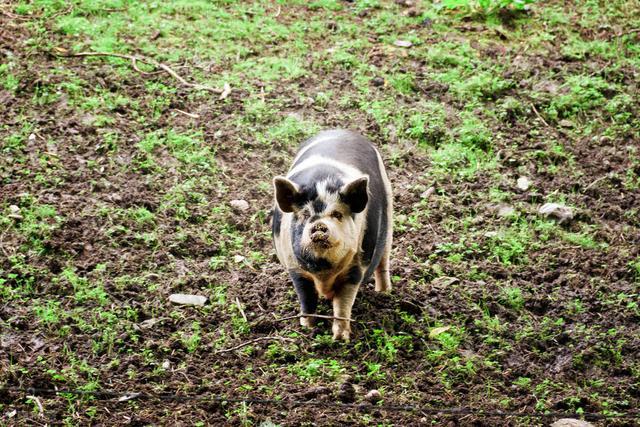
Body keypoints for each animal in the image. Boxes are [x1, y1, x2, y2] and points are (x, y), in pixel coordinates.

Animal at [270, 130, 390, 342]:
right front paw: (307, 328)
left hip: (390, 209)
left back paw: (384, 293)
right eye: (305, 214)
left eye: (337, 214)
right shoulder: (295, 268)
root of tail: (342, 131)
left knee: (384, 259)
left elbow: (343, 304)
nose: (319, 225)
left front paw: (341, 338)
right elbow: (306, 299)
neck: (323, 272)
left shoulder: (356, 269)